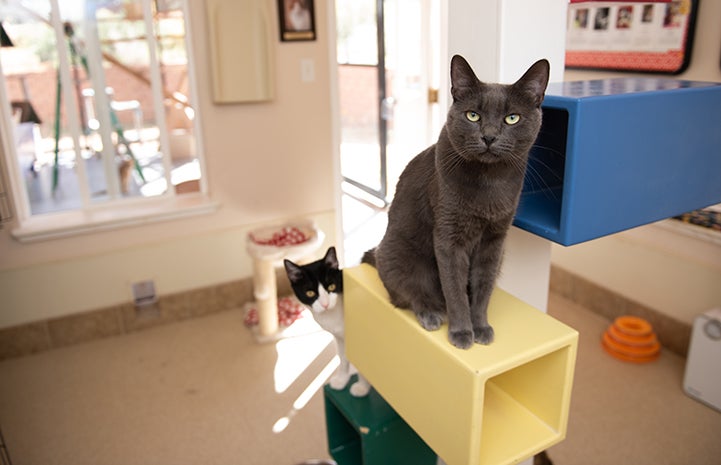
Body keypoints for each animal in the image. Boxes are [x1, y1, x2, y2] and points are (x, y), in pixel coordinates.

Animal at [282, 246, 372, 396]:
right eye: (310, 293)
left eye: (331, 286)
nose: (325, 304)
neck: (332, 315)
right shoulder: (341, 338)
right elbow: (343, 357)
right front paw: (342, 380)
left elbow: (361, 359)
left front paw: (362, 387)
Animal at [362, 54, 548, 348]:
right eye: (473, 115)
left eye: (512, 118)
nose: (489, 136)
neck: (489, 183)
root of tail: (378, 253)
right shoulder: (449, 238)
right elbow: (455, 289)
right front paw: (461, 332)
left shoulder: (495, 239)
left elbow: (482, 288)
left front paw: (480, 326)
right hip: (398, 256)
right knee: (405, 295)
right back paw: (431, 313)